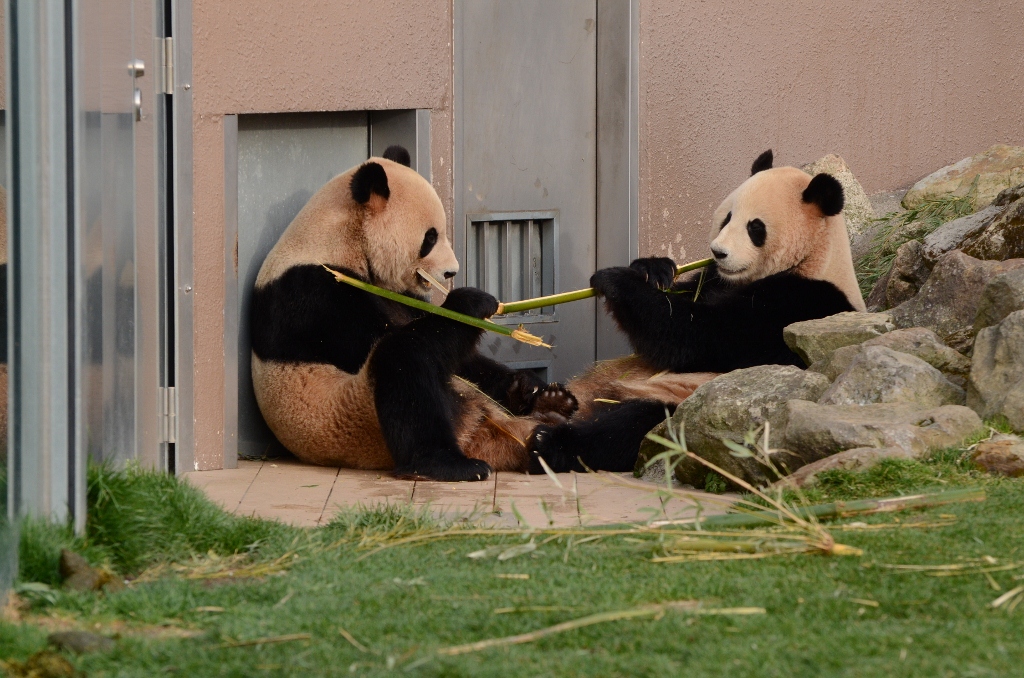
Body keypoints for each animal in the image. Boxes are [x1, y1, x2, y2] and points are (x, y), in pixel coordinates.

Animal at [249, 147, 577, 483]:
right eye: (430, 237)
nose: (451, 272)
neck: (339, 241)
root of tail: (476, 429)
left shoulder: (403, 297)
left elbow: (458, 354)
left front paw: (530, 388)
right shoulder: (315, 294)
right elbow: (391, 337)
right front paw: (472, 303)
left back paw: (548, 408)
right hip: (359, 416)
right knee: (402, 365)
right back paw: (448, 464)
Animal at [532, 151, 868, 475]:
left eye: (755, 227)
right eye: (727, 218)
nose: (718, 252)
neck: (814, 257)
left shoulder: (801, 303)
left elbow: (699, 337)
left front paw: (617, 280)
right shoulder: (712, 279)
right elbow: (684, 295)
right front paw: (652, 268)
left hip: (678, 402)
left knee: (627, 428)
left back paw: (548, 440)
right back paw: (550, 402)